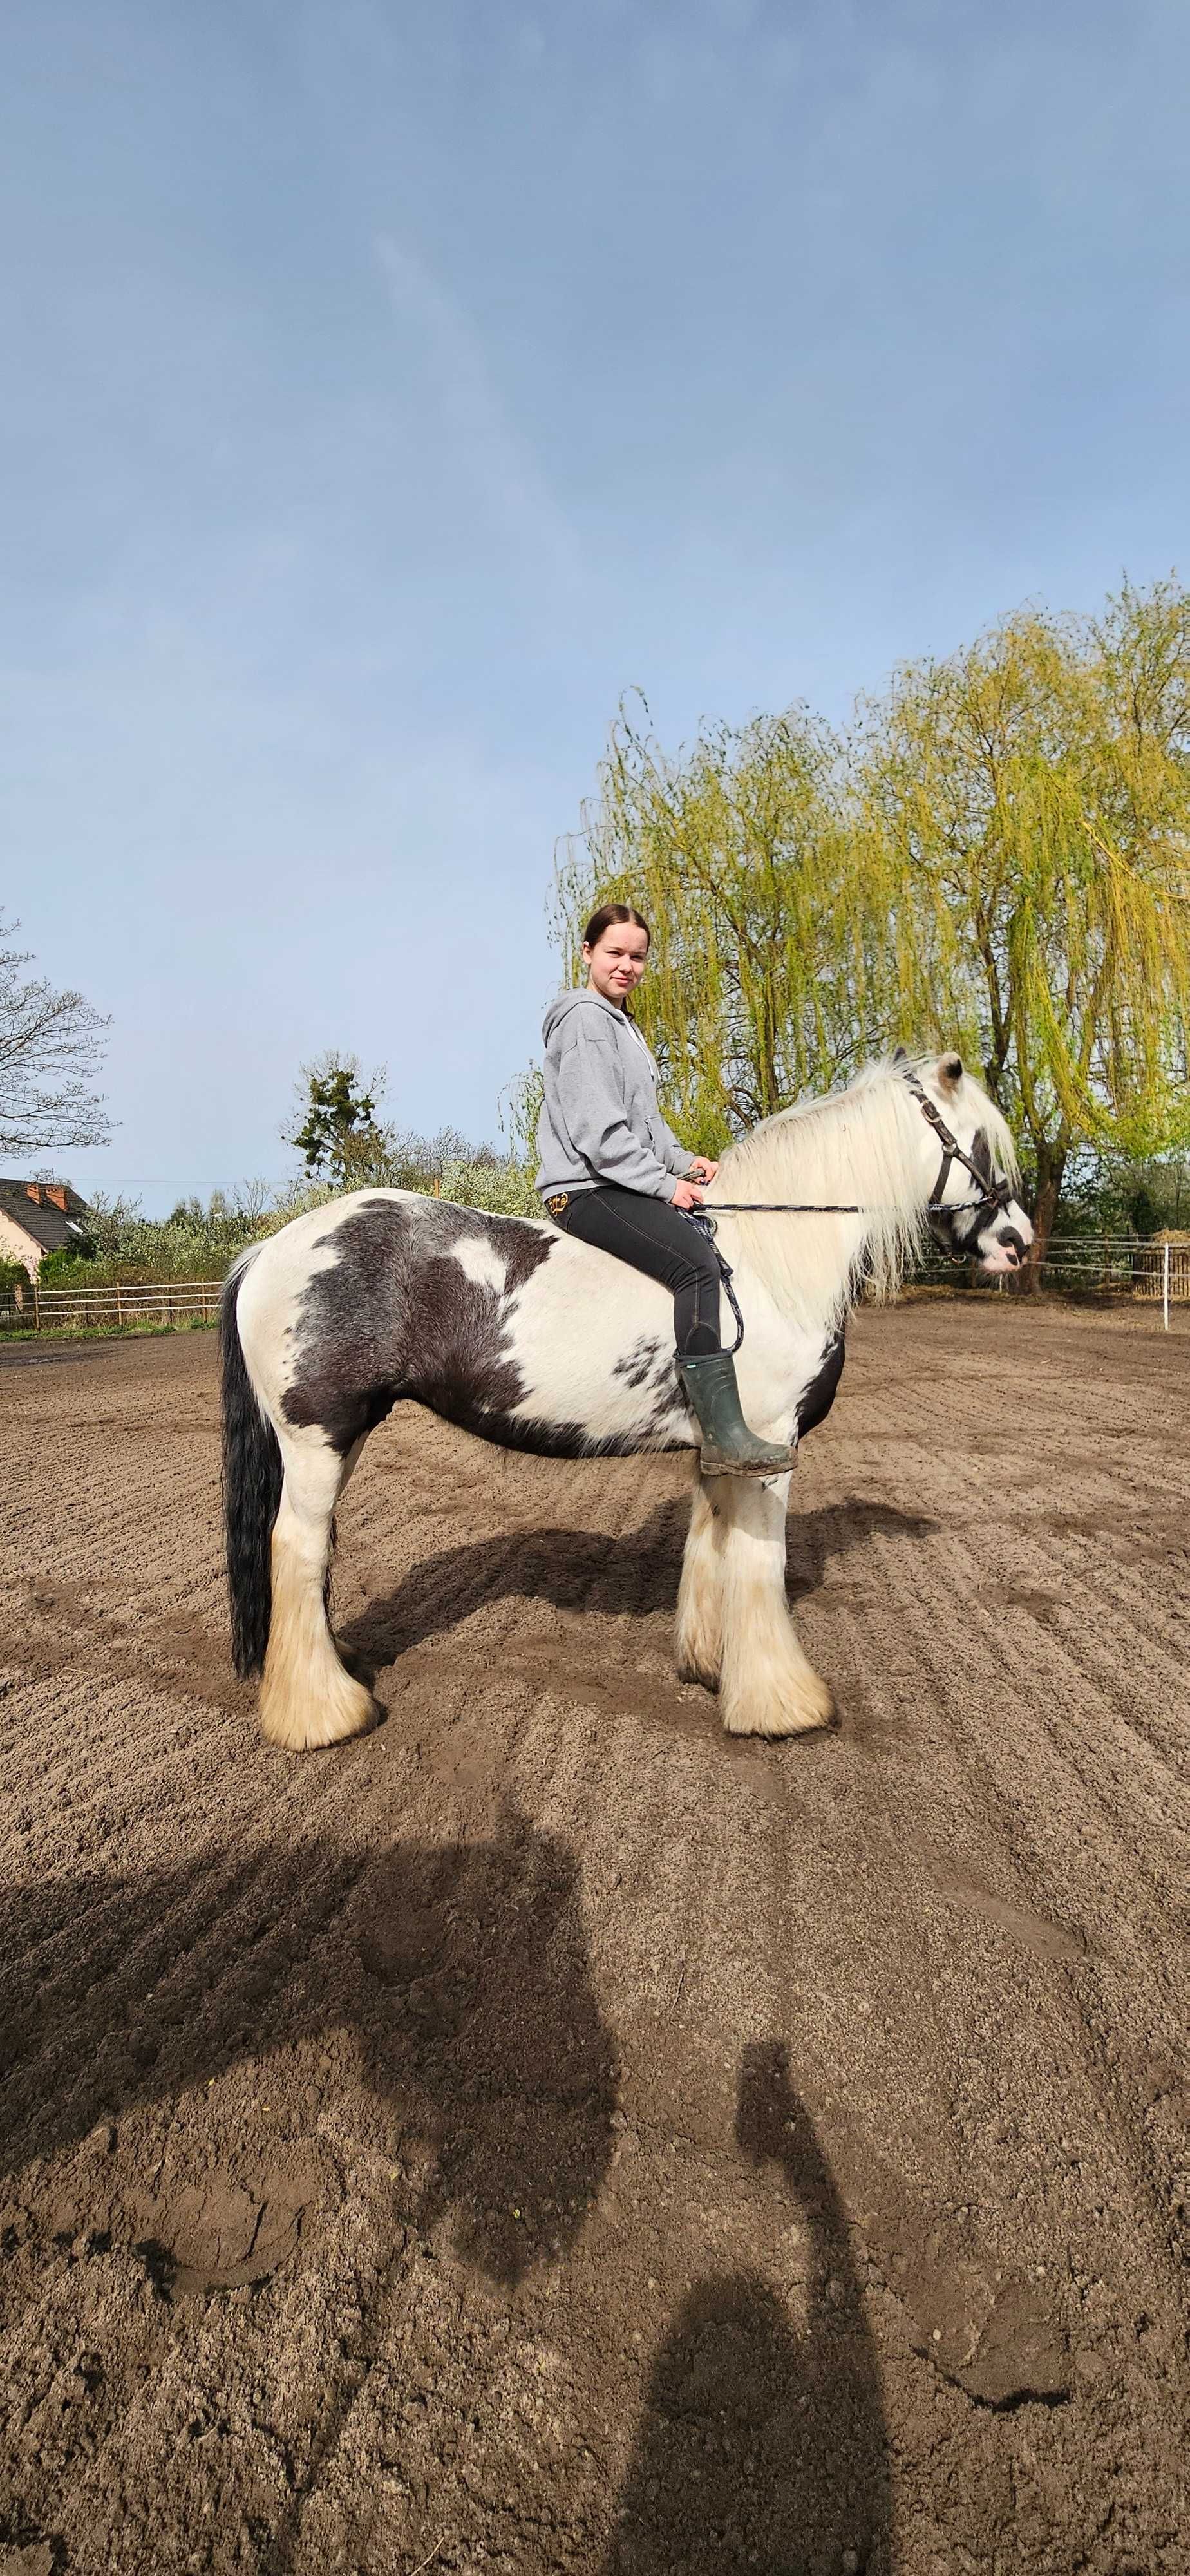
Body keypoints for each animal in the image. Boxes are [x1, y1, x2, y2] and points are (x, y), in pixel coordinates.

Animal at [220, 1051, 1030, 1752]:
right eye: (980, 1143)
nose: (1018, 1243)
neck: (772, 1262)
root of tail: (268, 1251)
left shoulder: (723, 1447)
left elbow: (713, 1548)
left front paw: (711, 1666)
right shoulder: (771, 1441)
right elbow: (761, 1564)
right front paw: (782, 1704)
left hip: (344, 1434)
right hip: (319, 1435)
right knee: (297, 1546)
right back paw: (322, 1712)